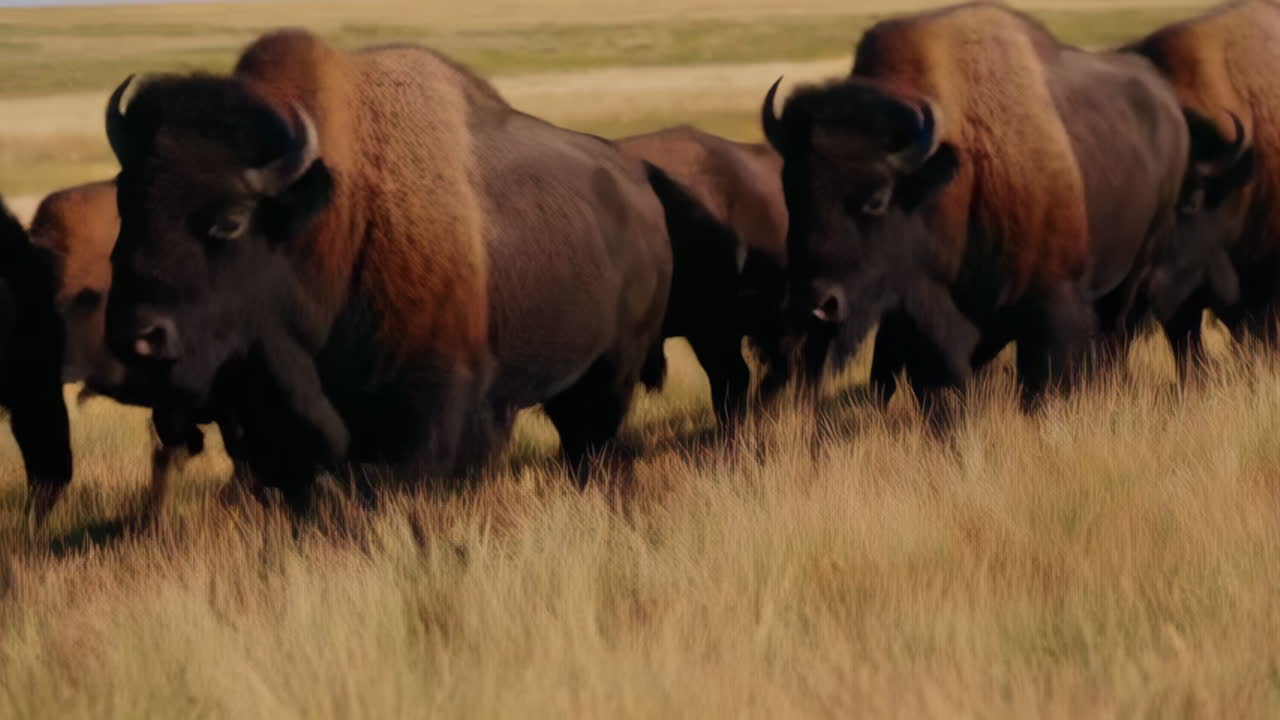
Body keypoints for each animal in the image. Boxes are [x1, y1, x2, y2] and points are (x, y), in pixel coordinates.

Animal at [762, 3, 1191, 408]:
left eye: (877, 198)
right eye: (790, 190)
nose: (815, 304)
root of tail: (1169, 106)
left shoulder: (1051, 306)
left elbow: (1042, 387)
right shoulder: (925, 326)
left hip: (1134, 269)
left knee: (1115, 334)